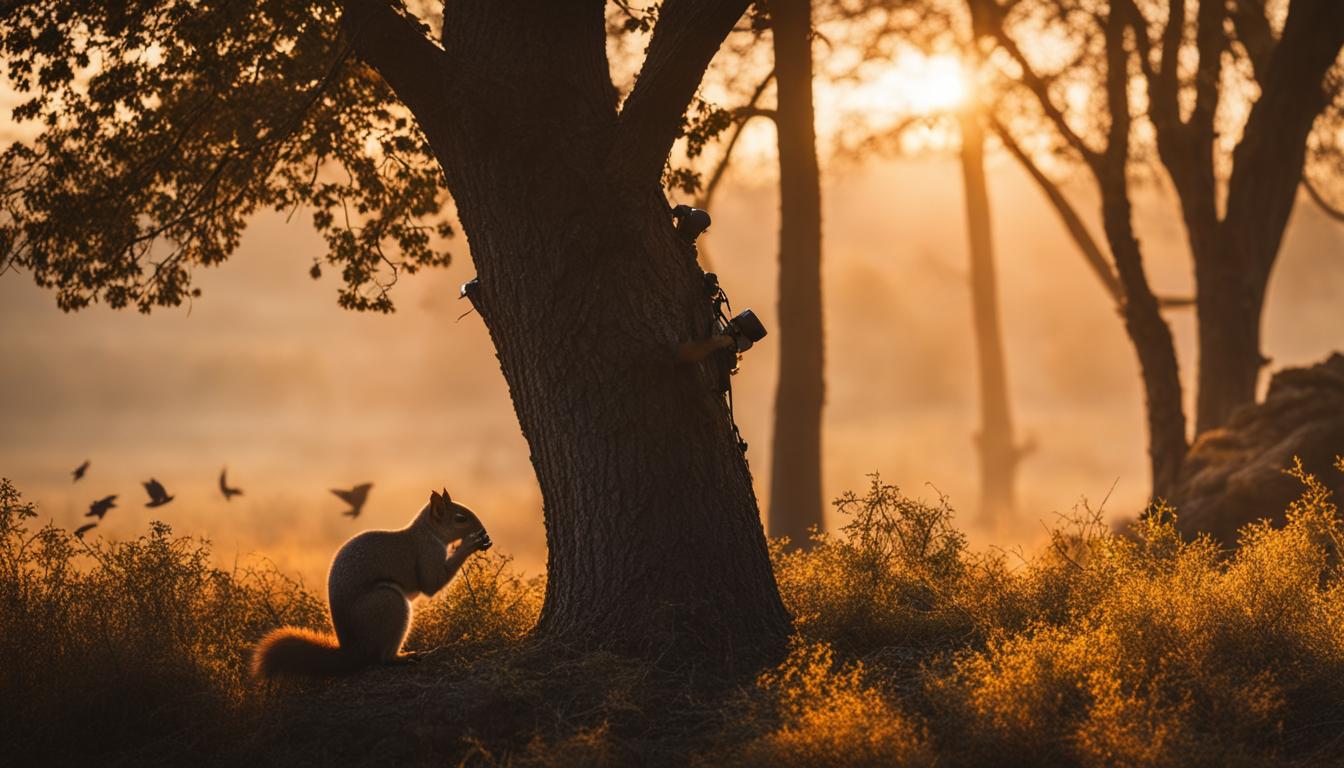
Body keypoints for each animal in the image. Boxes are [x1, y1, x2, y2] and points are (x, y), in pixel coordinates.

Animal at [249, 486, 491, 677]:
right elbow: (432, 583)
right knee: (383, 658)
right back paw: (403, 657)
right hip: (389, 602)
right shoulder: (427, 552)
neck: (429, 532)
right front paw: (470, 543)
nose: (484, 530)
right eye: (460, 518)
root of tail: (353, 650)